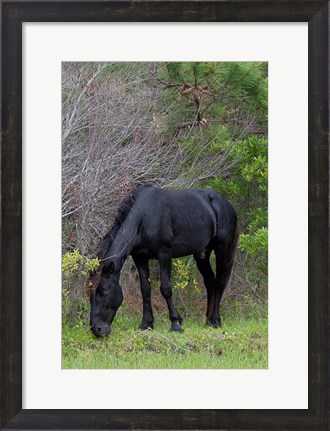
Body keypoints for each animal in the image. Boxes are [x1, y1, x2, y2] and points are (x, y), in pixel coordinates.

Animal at [87, 185, 237, 338]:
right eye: (89, 294)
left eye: (102, 292)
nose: (97, 329)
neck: (145, 217)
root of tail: (226, 203)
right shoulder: (140, 258)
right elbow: (145, 289)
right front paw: (146, 324)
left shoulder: (164, 254)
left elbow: (165, 288)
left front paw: (176, 323)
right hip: (202, 254)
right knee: (210, 281)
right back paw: (208, 321)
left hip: (223, 249)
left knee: (219, 283)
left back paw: (216, 320)